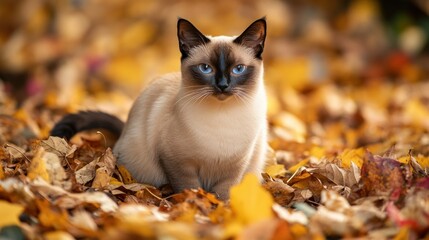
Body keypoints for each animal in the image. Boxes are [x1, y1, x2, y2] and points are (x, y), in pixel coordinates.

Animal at [51, 17, 268, 200]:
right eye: (206, 68)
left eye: (238, 69)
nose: (222, 85)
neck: (222, 118)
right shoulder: (177, 162)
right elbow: (189, 188)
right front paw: (196, 204)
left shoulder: (236, 167)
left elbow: (225, 193)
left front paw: (221, 210)